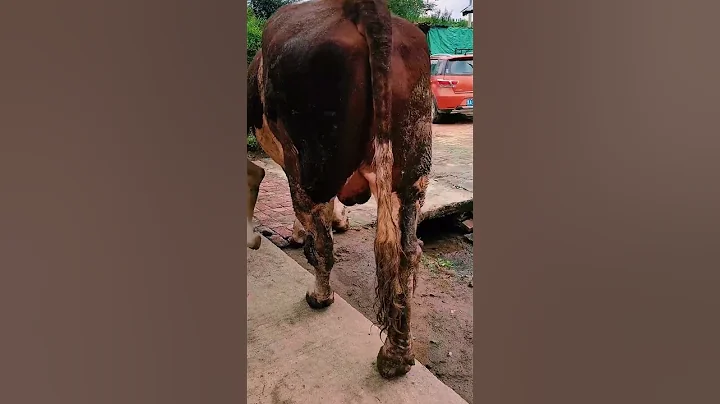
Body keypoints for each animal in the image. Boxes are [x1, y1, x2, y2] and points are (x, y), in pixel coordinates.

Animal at [247, 0, 432, 379]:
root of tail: (360, 9)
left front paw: (298, 235)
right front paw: (340, 220)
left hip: (310, 162)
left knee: (323, 241)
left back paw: (320, 296)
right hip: (412, 170)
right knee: (408, 253)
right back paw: (397, 355)